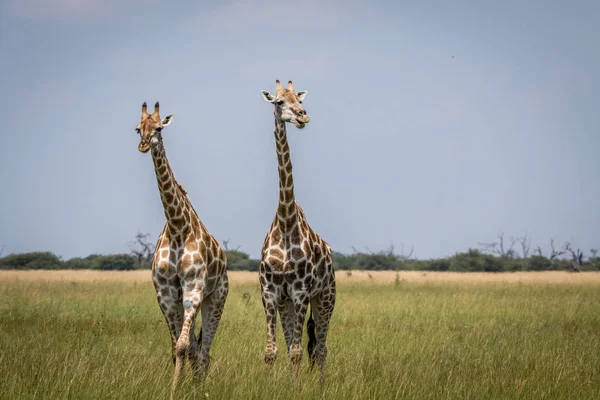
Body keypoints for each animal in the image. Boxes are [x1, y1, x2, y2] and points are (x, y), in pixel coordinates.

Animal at [134, 101, 230, 396]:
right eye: (137, 128)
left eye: (159, 128)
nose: (143, 145)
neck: (177, 227)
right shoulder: (165, 295)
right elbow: (176, 348)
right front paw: (176, 389)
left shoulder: (193, 290)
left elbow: (183, 346)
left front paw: (180, 391)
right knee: (196, 350)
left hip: (216, 297)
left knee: (205, 351)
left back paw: (201, 388)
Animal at [258, 80, 338, 384]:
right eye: (279, 101)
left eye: (298, 99)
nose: (303, 116)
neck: (285, 222)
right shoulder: (270, 292)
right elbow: (271, 351)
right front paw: (270, 387)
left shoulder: (301, 292)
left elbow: (296, 352)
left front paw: (296, 389)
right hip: (288, 304)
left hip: (325, 297)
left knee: (321, 349)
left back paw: (321, 386)